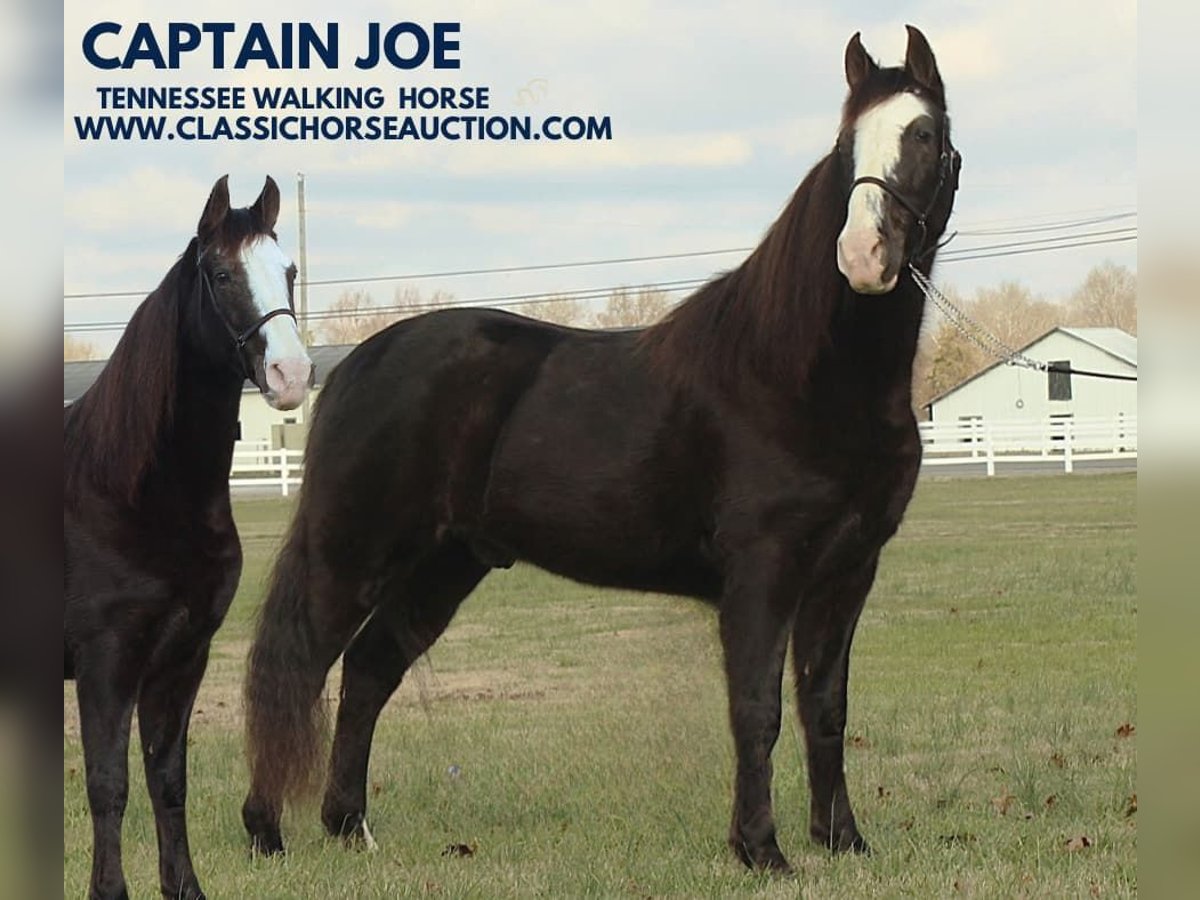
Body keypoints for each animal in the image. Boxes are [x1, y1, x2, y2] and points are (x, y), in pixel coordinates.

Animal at [64, 177, 314, 900]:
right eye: (222, 274)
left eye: (288, 271)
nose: (291, 374)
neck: (129, 490)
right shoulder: (106, 661)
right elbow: (109, 783)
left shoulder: (181, 659)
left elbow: (167, 779)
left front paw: (185, 887)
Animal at [246, 28, 964, 873]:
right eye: (847, 147)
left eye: (925, 135)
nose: (862, 255)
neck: (797, 376)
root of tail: (356, 364)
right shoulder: (763, 573)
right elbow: (756, 709)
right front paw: (761, 850)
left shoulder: (847, 571)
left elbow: (825, 706)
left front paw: (843, 841)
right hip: (354, 556)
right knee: (297, 668)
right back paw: (266, 831)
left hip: (444, 565)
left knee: (366, 673)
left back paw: (350, 826)